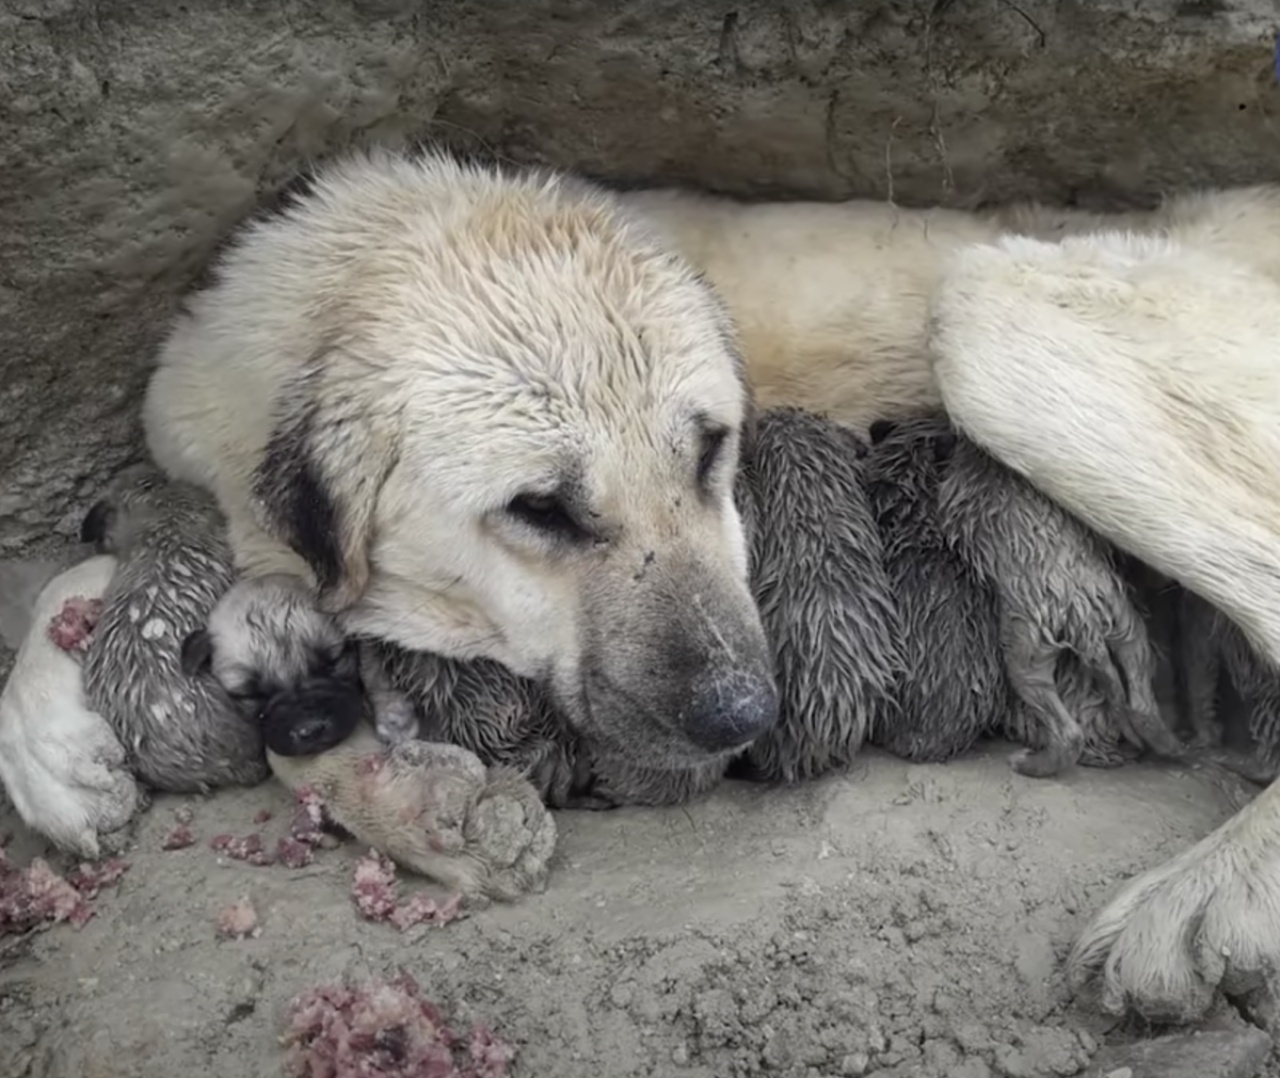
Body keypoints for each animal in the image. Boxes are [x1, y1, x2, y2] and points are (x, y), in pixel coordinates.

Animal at [931, 422, 1177, 773]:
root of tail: (1084, 624)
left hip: (1027, 655)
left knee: (1067, 734)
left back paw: (1030, 763)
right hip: (1125, 624)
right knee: (1141, 700)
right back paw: (1167, 742)